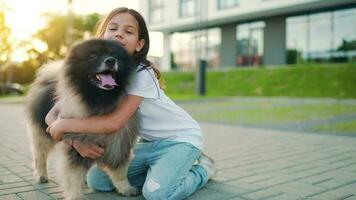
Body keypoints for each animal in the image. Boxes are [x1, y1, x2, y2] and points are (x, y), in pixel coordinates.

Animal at [26, 38, 139, 198]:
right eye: (93, 56)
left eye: (114, 55)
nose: (111, 61)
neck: (99, 101)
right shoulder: (76, 147)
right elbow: (73, 176)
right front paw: (75, 196)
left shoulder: (119, 143)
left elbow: (120, 171)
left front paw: (125, 188)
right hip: (42, 134)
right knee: (40, 155)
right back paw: (41, 175)